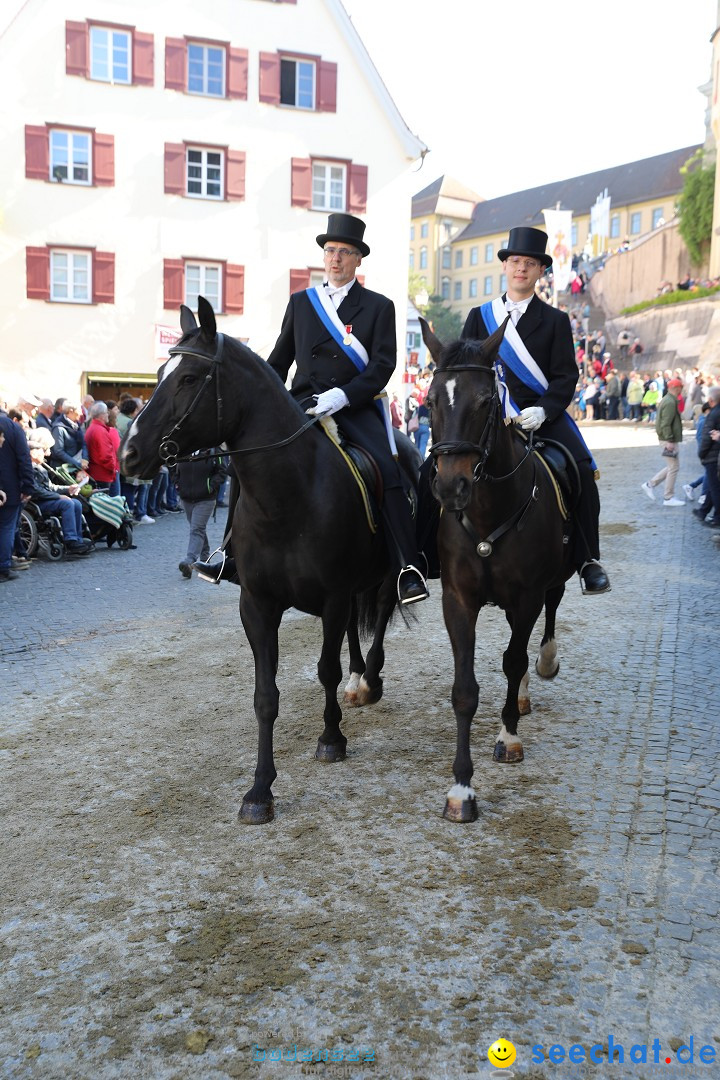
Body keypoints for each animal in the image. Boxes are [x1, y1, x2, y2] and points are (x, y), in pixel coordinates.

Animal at [120, 300, 418, 820]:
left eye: (190, 378)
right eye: (158, 374)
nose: (129, 453)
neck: (289, 495)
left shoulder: (334, 597)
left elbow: (325, 669)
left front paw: (331, 739)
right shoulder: (257, 605)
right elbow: (265, 696)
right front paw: (260, 790)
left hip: (383, 573)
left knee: (381, 610)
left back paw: (369, 679)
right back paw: (359, 678)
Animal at [423, 315, 574, 820]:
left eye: (486, 401)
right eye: (430, 401)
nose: (450, 487)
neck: (489, 511)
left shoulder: (526, 595)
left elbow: (512, 660)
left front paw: (507, 738)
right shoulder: (458, 600)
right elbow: (464, 689)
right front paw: (461, 788)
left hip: (552, 581)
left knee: (548, 616)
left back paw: (542, 665)